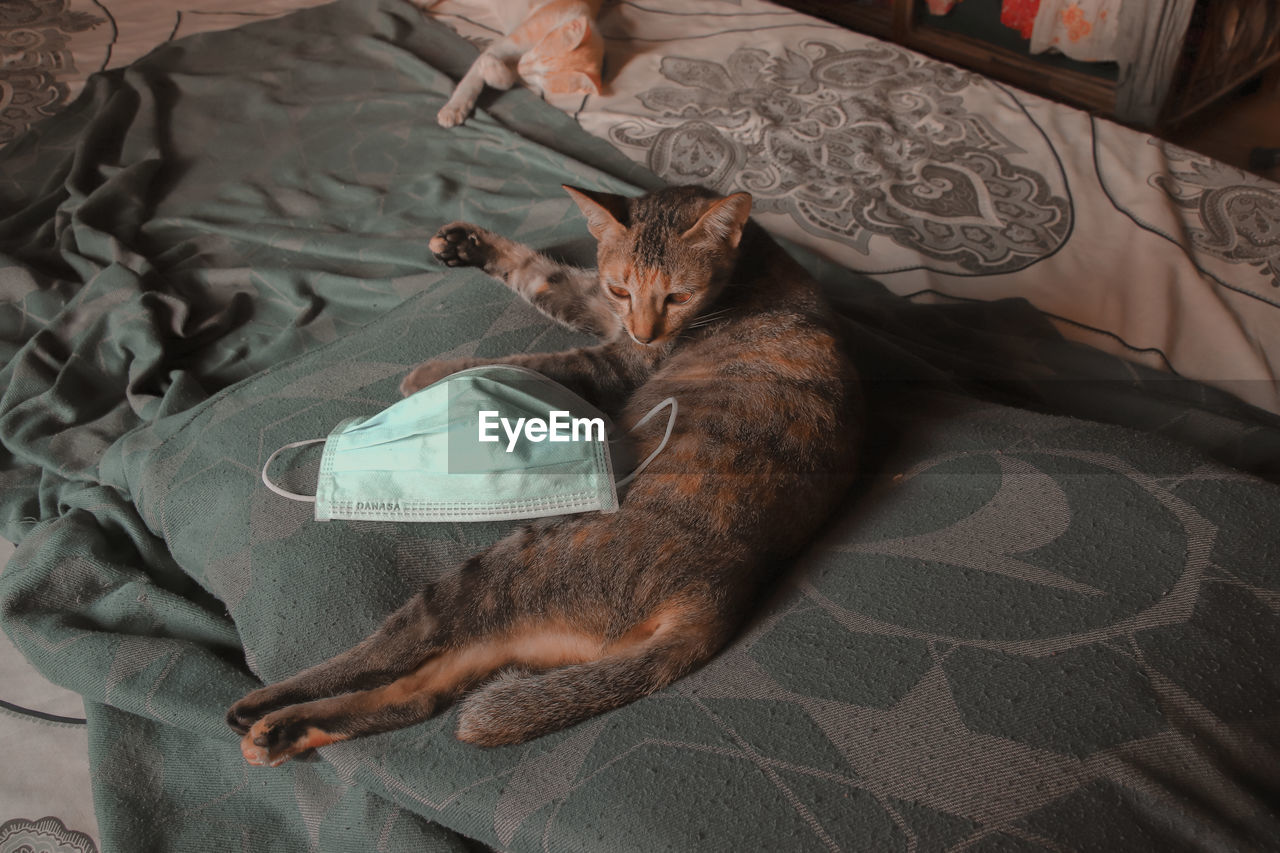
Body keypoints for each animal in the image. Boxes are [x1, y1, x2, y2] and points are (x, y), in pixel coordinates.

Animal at [229, 184, 865, 763]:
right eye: (621, 287)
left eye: (679, 295)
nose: (646, 330)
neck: (749, 260)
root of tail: (714, 600)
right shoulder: (601, 305)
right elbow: (545, 277)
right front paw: (468, 243)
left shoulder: (616, 361)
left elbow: (532, 364)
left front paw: (434, 378)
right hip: (521, 633)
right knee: (417, 695)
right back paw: (280, 731)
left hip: (499, 571)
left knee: (398, 645)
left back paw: (262, 705)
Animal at [435, 0, 604, 126]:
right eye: (538, 53)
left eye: (541, 78)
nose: (521, 67)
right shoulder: (506, 45)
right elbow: (472, 80)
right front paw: (455, 107)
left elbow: (507, 79)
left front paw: (492, 69)